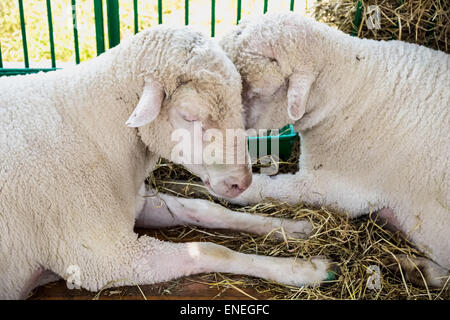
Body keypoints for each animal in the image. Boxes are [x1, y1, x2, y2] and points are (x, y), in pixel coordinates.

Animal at [0, 25, 338, 300]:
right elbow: (209, 250)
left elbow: (208, 209)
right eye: (188, 116)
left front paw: (295, 228)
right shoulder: (103, 259)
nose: (241, 183)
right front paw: (306, 270)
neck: (98, 129)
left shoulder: (136, 201)